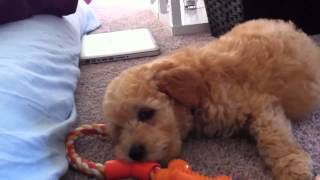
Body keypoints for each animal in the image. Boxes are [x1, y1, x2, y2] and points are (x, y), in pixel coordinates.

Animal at [102, 19, 320, 179]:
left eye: (146, 113)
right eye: (118, 129)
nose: (134, 153)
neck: (202, 86)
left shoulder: (262, 106)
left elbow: (275, 138)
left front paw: (293, 168)